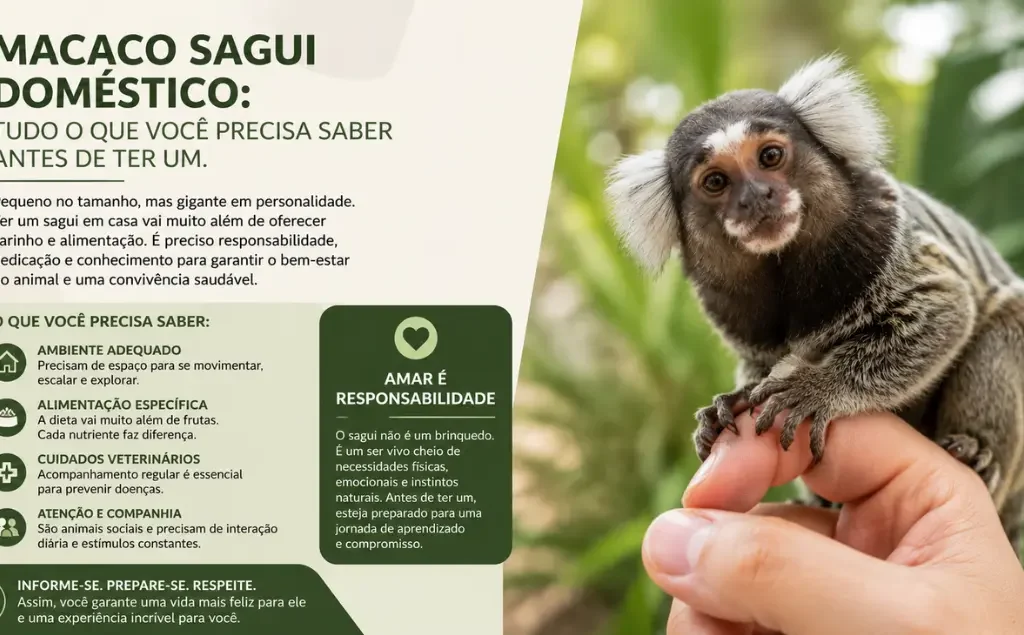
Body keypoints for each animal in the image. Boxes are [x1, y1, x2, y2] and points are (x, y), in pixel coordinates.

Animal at [605, 54, 1024, 548]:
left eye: (770, 157)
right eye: (716, 182)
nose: (755, 197)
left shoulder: (885, 240)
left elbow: (943, 308)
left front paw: (817, 388)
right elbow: (758, 365)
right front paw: (730, 402)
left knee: (1005, 321)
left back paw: (977, 452)